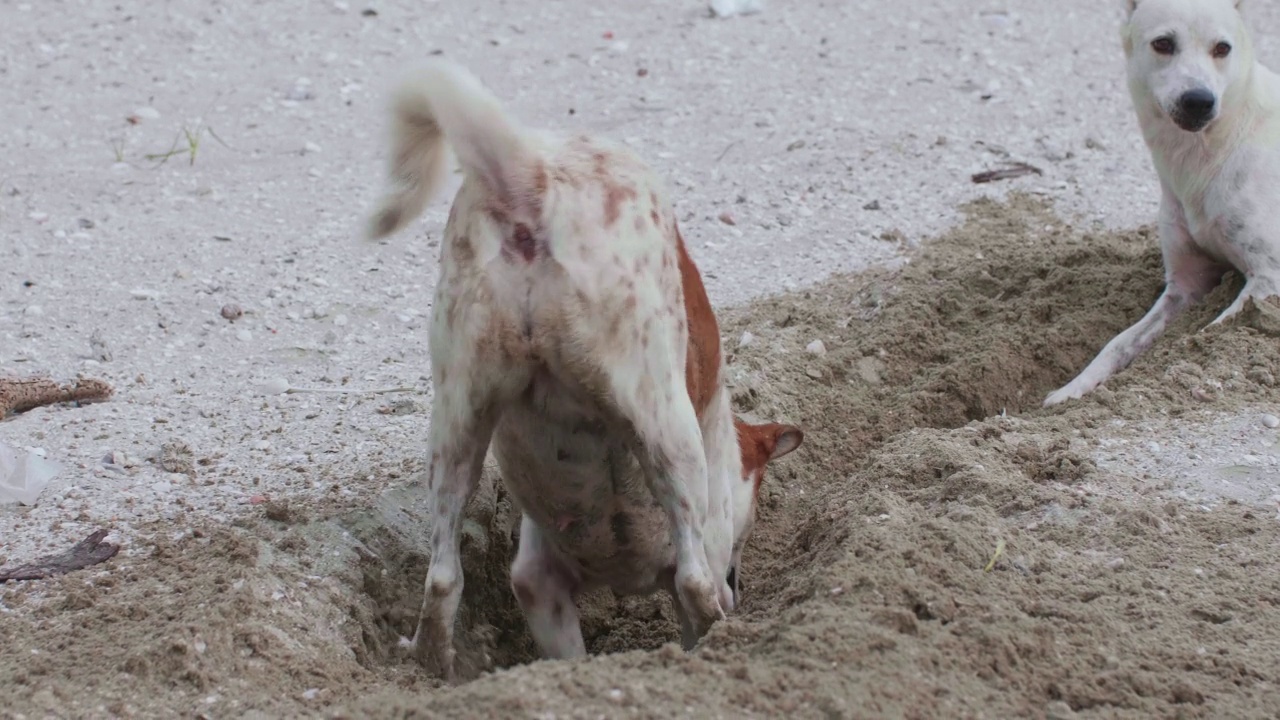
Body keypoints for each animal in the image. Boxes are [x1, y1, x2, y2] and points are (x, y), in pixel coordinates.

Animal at [366, 57, 798, 676]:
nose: (741, 585)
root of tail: (534, 174)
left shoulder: (536, 583)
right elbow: (692, 586)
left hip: (457, 424)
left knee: (443, 578)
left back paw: (433, 666)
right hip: (664, 424)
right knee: (695, 581)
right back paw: (726, 634)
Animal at [1044, 0, 1280, 404]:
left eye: (1222, 48)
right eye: (1163, 44)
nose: (1199, 101)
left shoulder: (1269, 277)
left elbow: (1210, 332)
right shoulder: (1184, 286)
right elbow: (1118, 344)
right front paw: (1071, 391)